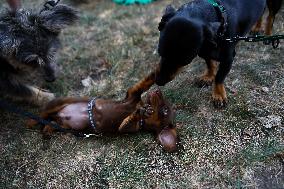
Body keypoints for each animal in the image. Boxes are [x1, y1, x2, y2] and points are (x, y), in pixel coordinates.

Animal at [26, 72, 178, 152]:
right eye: (165, 102)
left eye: (165, 110)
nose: (158, 91)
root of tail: (59, 114)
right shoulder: (132, 95)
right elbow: (144, 83)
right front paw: (159, 71)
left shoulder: (126, 127)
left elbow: (130, 119)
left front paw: (142, 112)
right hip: (57, 104)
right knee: (42, 114)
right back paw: (31, 121)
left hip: (63, 125)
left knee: (48, 122)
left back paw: (45, 131)